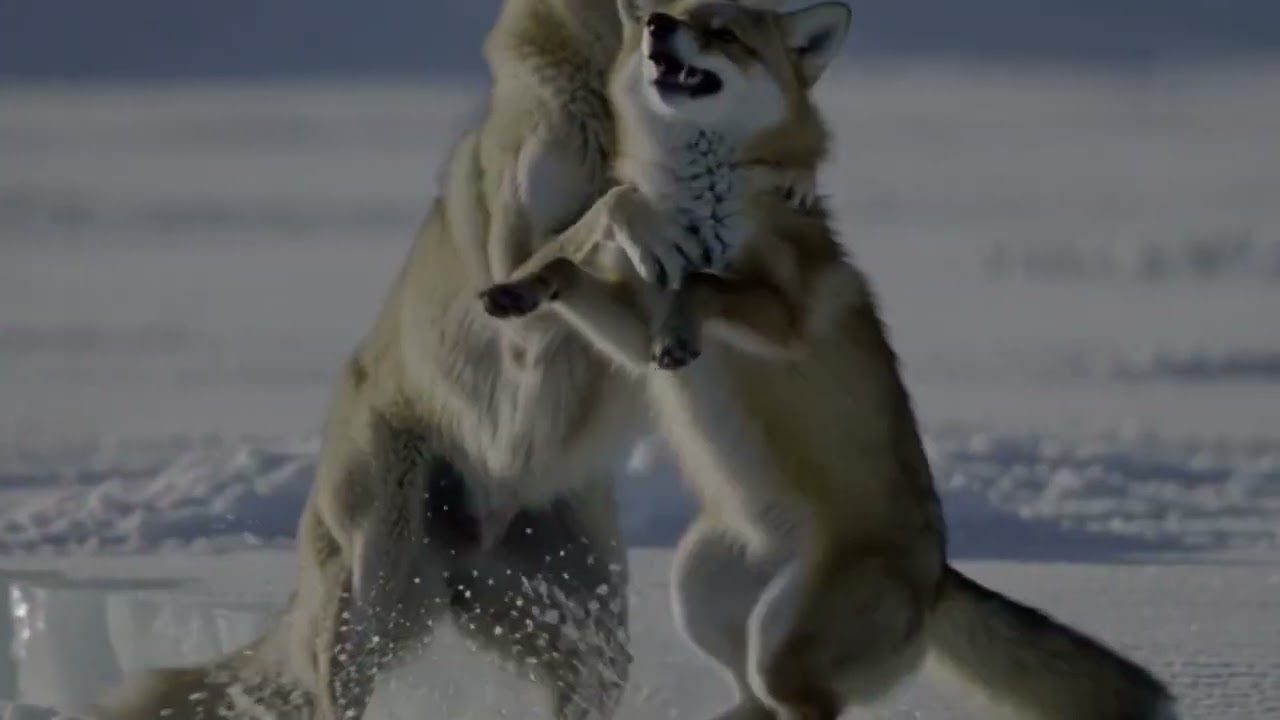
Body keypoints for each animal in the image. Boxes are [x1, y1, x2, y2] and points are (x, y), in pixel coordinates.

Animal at [478, 1, 1179, 719]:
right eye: (667, 11)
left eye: (723, 32)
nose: (656, 27)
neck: (704, 206)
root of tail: (936, 580)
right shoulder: (631, 328)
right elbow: (588, 244)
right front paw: (523, 289)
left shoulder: (782, 315)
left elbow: (704, 283)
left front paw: (681, 322)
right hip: (698, 589)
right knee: (753, 698)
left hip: (783, 646)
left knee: (803, 702)